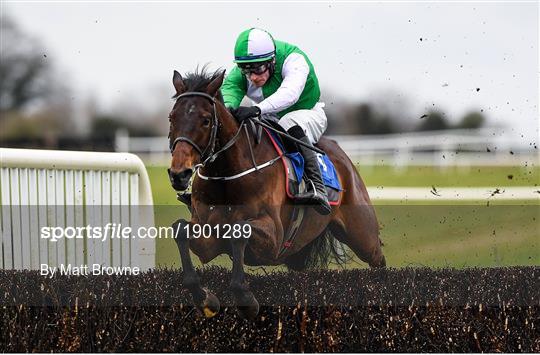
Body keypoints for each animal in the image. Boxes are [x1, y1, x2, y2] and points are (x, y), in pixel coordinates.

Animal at [168, 67, 384, 320]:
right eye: (172, 118)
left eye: (205, 120)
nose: (179, 174)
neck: (227, 177)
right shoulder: (209, 237)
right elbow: (180, 229)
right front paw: (205, 298)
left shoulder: (273, 240)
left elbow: (239, 230)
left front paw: (245, 298)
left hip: (363, 235)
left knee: (378, 260)